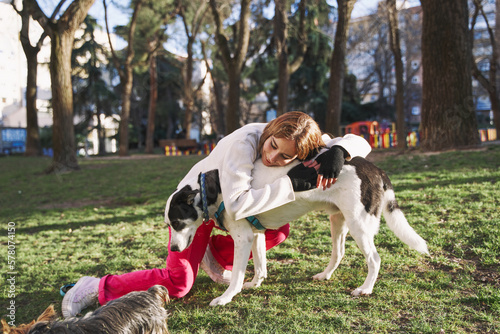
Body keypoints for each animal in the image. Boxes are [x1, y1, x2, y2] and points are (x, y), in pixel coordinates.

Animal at [165, 157, 430, 306]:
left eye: (177, 222)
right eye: (169, 225)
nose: (174, 249)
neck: (211, 188)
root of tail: (375, 169)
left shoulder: (243, 237)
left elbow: (237, 276)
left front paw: (226, 298)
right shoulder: (256, 234)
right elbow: (259, 265)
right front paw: (256, 283)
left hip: (359, 225)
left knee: (374, 258)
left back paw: (365, 289)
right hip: (338, 221)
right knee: (339, 253)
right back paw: (325, 275)